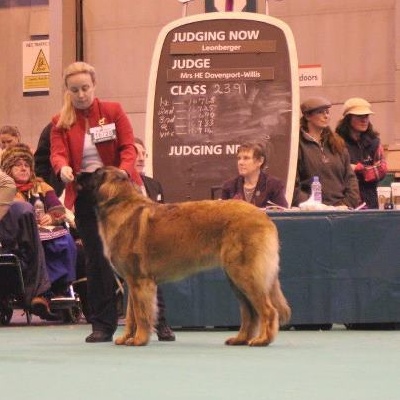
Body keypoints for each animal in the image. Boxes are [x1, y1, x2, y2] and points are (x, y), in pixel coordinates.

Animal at [92, 166, 290, 346]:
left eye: (94, 174)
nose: (83, 174)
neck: (120, 204)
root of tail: (264, 216)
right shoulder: (132, 282)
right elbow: (131, 315)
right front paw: (127, 338)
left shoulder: (139, 281)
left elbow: (140, 314)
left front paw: (139, 339)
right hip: (236, 278)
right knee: (250, 312)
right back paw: (240, 339)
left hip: (244, 274)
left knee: (268, 310)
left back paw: (262, 340)